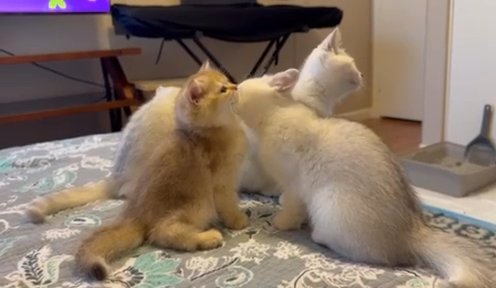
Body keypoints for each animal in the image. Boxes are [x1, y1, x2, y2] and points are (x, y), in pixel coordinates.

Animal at [75, 66, 248, 280]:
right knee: (162, 233)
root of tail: (135, 214)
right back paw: (207, 237)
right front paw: (238, 220)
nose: (236, 86)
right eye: (223, 89)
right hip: (197, 204)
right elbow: (229, 205)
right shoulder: (222, 184)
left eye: (228, 81)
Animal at [236, 29, 492, 288]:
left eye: (237, 89)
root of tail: (414, 230)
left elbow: (290, 206)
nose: (230, 89)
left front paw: (281, 222)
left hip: (330, 205)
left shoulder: (294, 185)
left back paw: (318, 235)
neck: (276, 114)